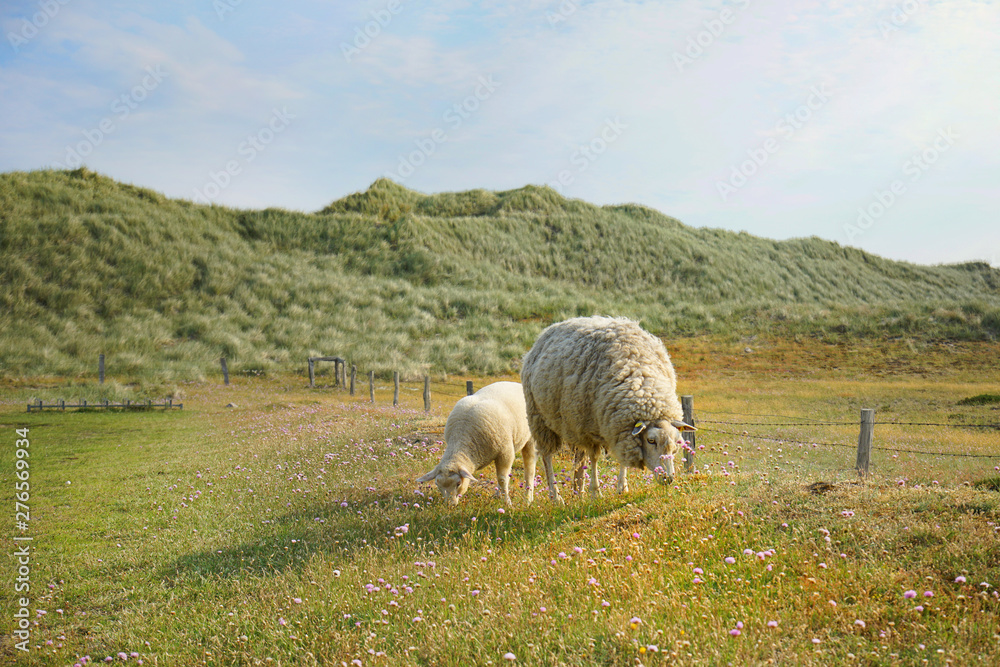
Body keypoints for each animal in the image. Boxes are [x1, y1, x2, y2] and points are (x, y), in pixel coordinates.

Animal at [521, 316, 695, 503]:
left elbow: (621, 457)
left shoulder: (618, 425)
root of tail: (548, 331)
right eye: (651, 440)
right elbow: (595, 458)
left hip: (573, 422)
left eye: (676, 442)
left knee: (579, 458)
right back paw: (555, 495)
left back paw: (578, 490)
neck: (640, 380)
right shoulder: (590, 428)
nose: (668, 478)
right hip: (539, 418)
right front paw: (596, 492)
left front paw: (622, 487)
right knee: (547, 456)